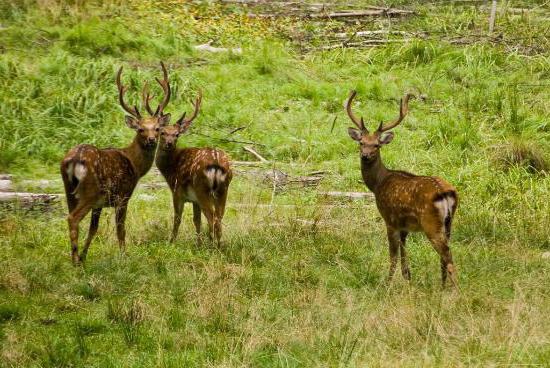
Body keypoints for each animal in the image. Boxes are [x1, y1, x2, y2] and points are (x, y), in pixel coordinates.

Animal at [60, 61, 172, 264]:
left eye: (158, 128)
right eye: (141, 129)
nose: (152, 140)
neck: (135, 165)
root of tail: (75, 159)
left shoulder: (99, 204)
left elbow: (93, 229)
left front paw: (85, 257)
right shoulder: (123, 196)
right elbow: (121, 230)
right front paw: (124, 256)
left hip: (69, 189)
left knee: (71, 216)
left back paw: (76, 258)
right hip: (89, 190)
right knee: (73, 218)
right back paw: (74, 260)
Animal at [154, 92, 234, 247]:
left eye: (177, 134)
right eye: (163, 133)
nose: (169, 144)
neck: (171, 168)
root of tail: (216, 162)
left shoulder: (177, 192)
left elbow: (177, 218)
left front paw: (171, 242)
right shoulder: (194, 200)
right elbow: (197, 220)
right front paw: (199, 243)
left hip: (201, 188)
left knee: (212, 218)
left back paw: (213, 246)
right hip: (223, 189)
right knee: (219, 217)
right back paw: (219, 245)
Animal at [344, 89, 462, 288]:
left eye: (376, 145)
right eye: (361, 142)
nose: (365, 155)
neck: (378, 183)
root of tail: (445, 192)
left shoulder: (390, 219)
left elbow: (393, 255)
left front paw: (387, 283)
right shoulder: (404, 226)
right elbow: (404, 252)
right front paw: (408, 277)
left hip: (430, 222)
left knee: (447, 255)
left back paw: (454, 289)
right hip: (449, 222)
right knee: (445, 255)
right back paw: (443, 285)